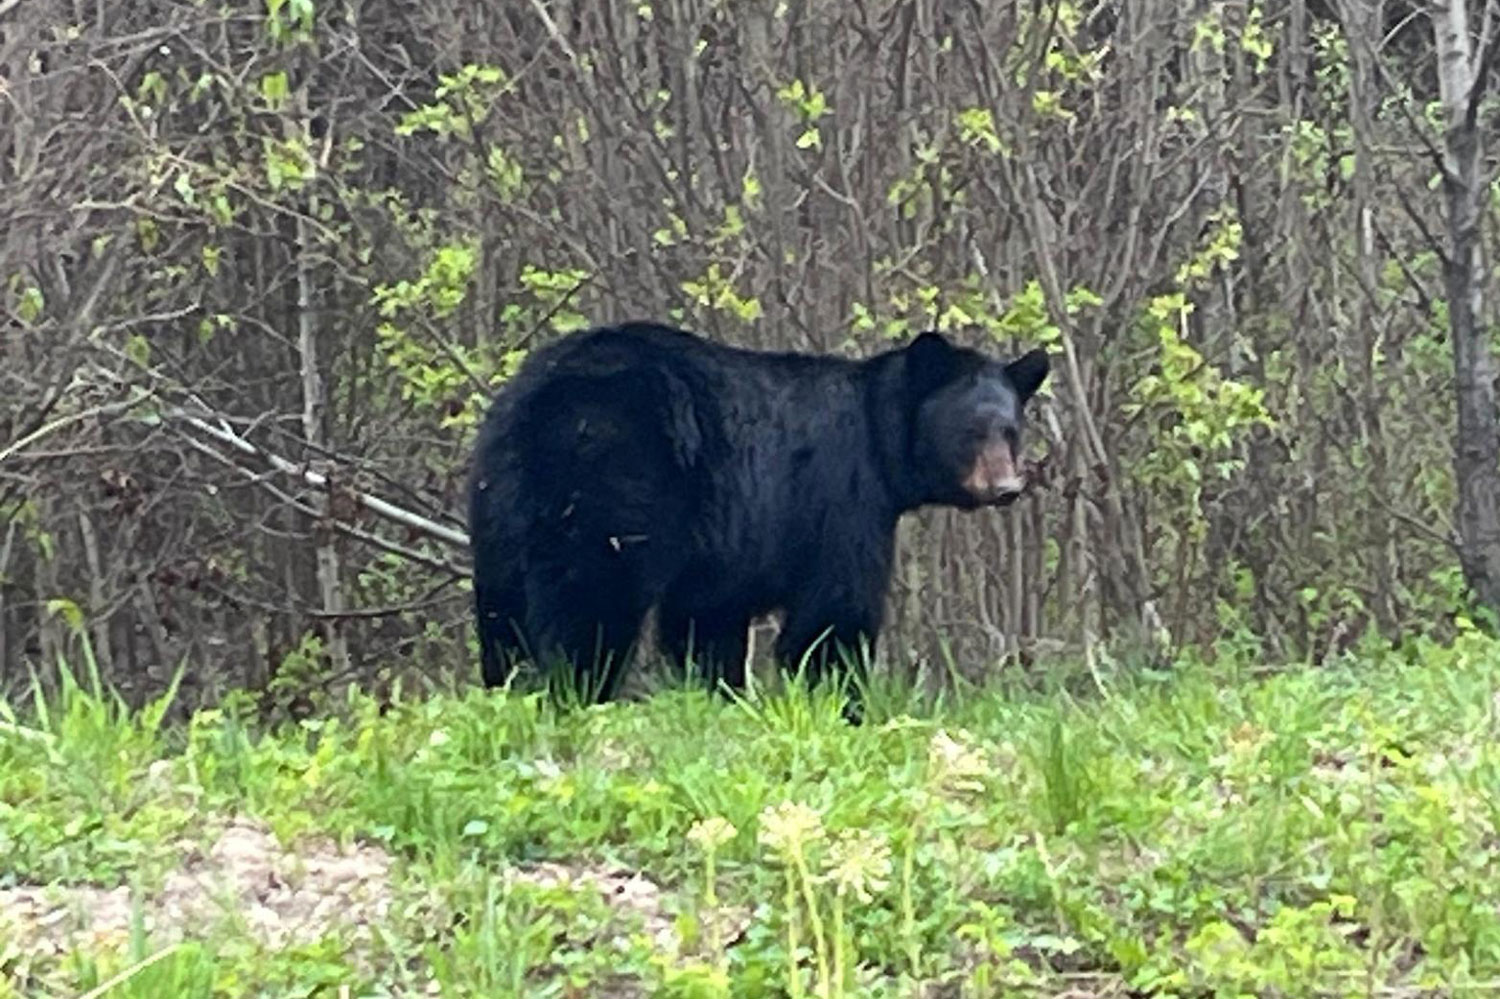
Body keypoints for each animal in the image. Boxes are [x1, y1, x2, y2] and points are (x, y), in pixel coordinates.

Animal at [466, 320, 1050, 706]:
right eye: (972, 431)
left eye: (1011, 430)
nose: (1006, 488)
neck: (880, 444)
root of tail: (535, 399)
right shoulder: (842, 497)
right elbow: (834, 610)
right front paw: (840, 702)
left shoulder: (726, 545)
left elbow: (706, 620)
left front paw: (719, 696)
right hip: (610, 482)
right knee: (592, 596)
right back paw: (580, 691)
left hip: (501, 505)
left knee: (503, 611)